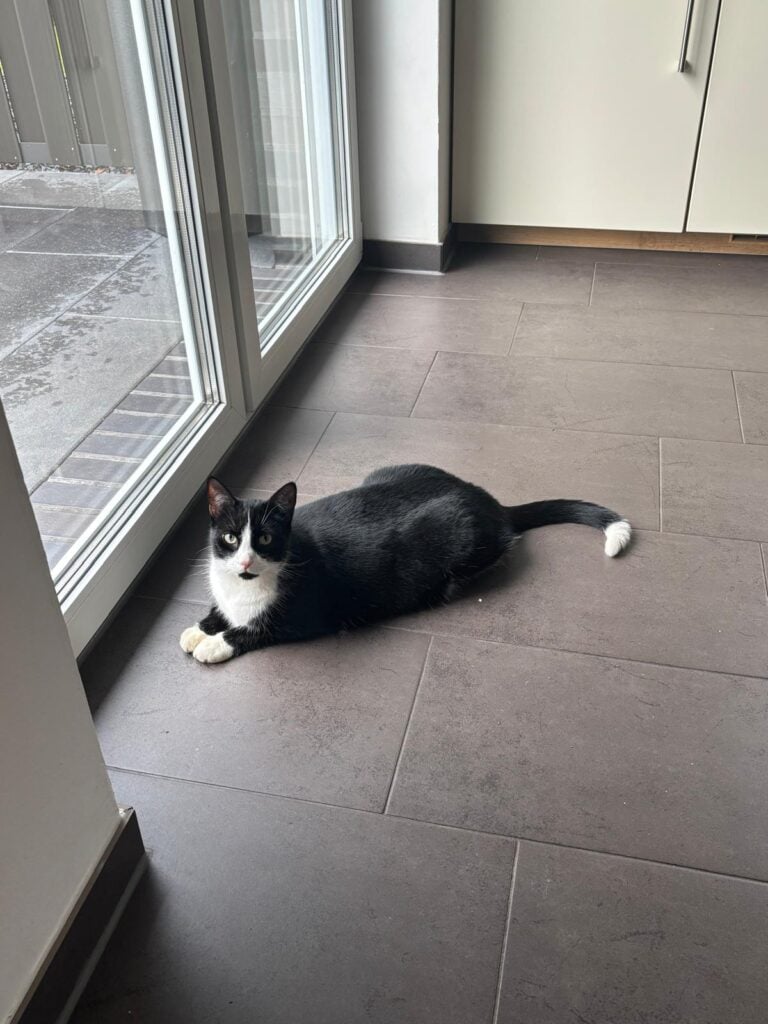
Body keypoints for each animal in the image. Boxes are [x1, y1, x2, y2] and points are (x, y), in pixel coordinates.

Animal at [180, 464, 631, 664]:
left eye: (266, 539)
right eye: (231, 537)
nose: (245, 560)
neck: (244, 587)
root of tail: (491, 503)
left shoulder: (307, 614)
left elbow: (259, 628)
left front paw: (215, 643)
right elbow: (221, 611)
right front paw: (199, 628)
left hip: (460, 544)